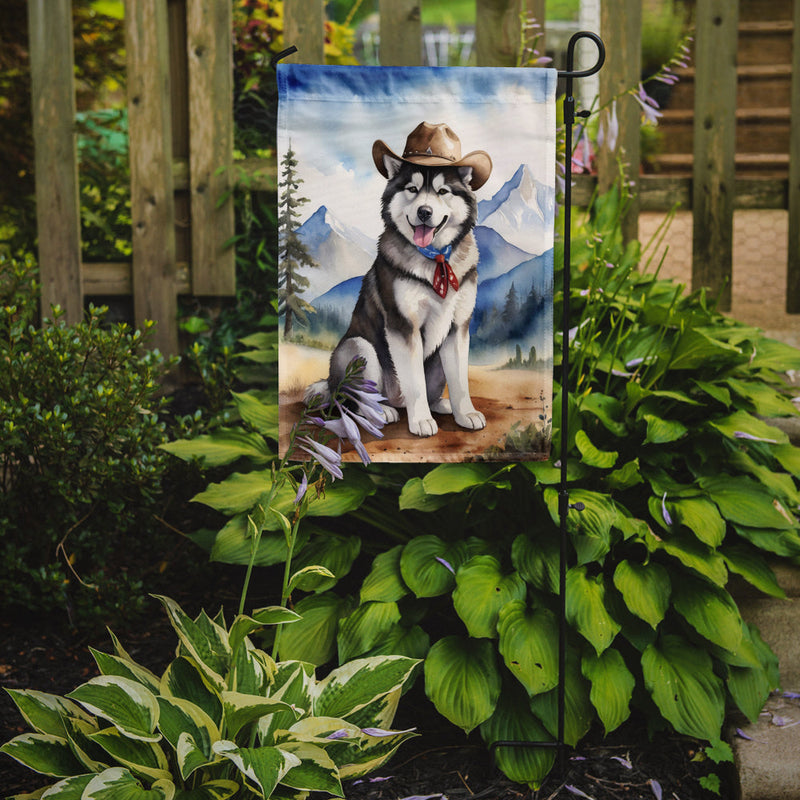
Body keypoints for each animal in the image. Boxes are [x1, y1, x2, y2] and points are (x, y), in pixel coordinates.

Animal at [310, 122, 490, 440]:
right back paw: (383, 411)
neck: (436, 259)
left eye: (443, 191)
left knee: (432, 389)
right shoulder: (403, 325)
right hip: (360, 348)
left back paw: (440, 405)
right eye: (412, 189)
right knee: (354, 400)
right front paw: (421, 422)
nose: (424, 212)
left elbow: (460, 381)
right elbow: (414, 383)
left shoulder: (458, 327)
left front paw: (465, 413)